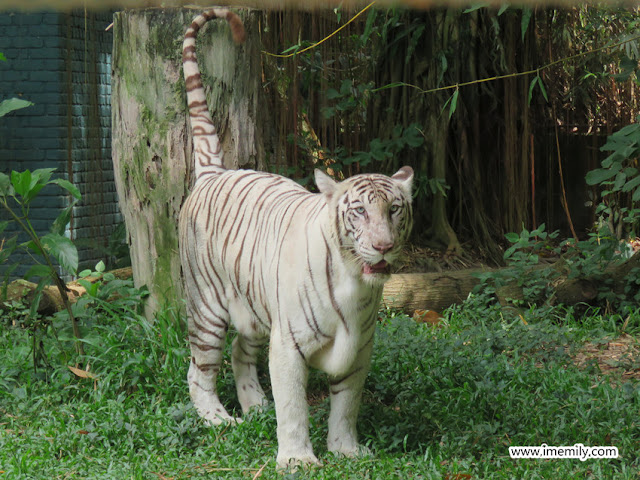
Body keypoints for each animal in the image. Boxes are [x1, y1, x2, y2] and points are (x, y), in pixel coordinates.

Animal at [179, 8, 416, 468]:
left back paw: (255, 407)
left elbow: (346, 405)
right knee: (199, 370)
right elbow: (293, 407)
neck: (356, 284)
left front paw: (346, 449)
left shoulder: (360, 348)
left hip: (255, 310)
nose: (383, 246)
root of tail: (215, 171)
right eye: (360, 211)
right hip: (208, 309)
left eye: (394, 210)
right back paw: (219, 420)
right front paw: (297, 459)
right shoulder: (288, 343)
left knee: (239, 353)